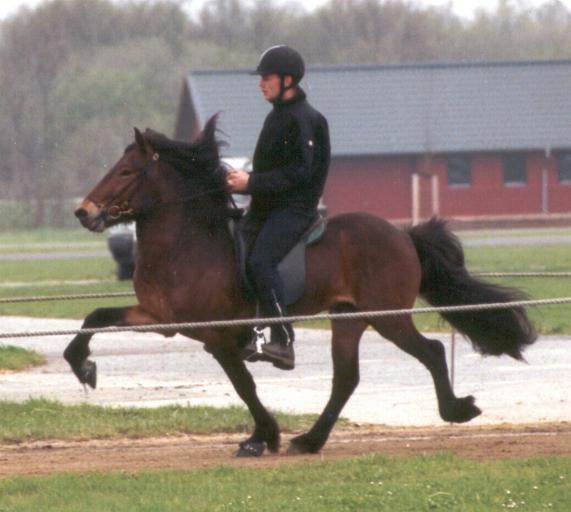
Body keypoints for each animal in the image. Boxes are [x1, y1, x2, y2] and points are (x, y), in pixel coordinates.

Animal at [66, 118, 536, 458]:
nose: (83, 212)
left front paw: (264, 436)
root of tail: (403, 236)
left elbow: (244, 385)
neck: (189, 243)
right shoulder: (161, 319)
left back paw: (456, 410)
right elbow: (95, 318)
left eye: (126, 171)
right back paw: (311, 440)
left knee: (431, 352)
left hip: (388, 318)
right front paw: (83, 366)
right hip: (349, 318)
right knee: (346, 378)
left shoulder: (216, 336)